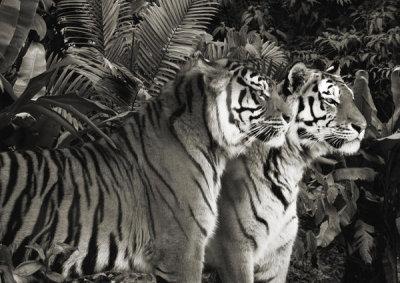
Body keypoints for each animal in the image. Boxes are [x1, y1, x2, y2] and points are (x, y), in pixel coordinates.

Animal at [205, 62, 368, 283]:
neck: (291, 165)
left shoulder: (278, 252)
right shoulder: (235, 250)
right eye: (331, 101)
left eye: (352, 98)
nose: (363, 126)